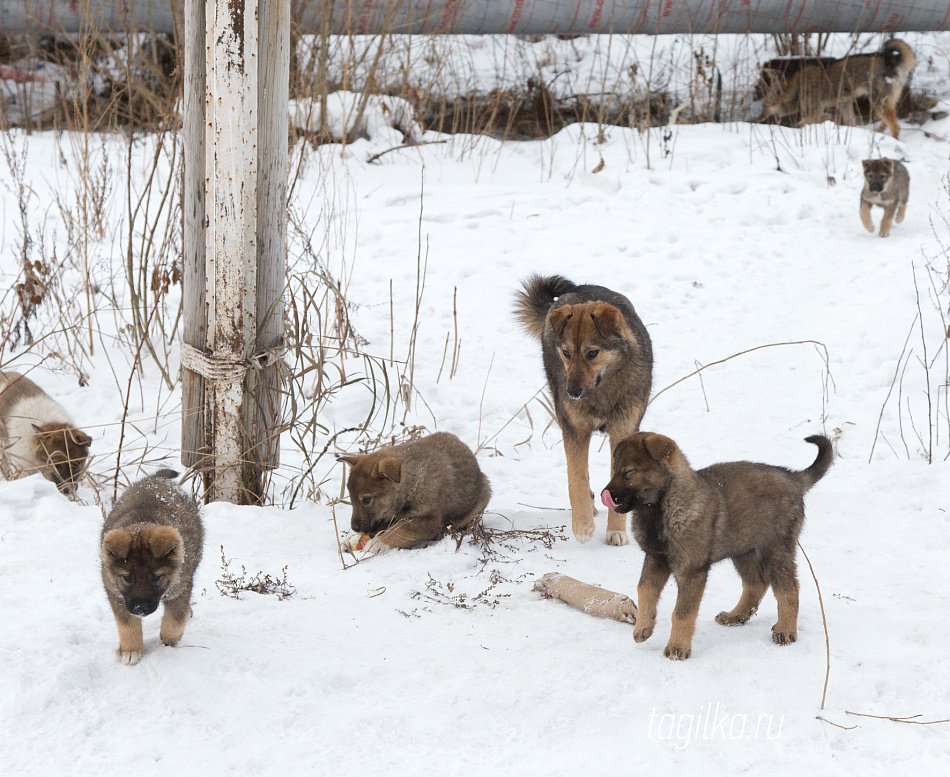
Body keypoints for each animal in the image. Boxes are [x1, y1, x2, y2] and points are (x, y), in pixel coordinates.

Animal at [101, 470, 205, 664]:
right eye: (127, 578)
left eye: (156, 577)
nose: (140, 609)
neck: (142, 523)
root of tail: (156, 478)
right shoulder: (115, 592)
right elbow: (128, 624)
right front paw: (131, 651)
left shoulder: (181, 586)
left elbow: (175, 617)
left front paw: (169, 640)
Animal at [338, 430, 490, 552]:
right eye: (351, 499)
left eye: (367, 499)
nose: (355, 528)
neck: (413, 481)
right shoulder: (387, 517)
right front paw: (351, 539)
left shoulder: (429, 520)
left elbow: (399, 528)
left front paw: (378, 543)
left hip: (481, 499)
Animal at [512, 276, 656, 544]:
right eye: (567, 353)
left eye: (592, 353)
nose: (572, 392)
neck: (600, 393)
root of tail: (579, 289)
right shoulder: (574, 430)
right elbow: (576, 478)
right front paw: (582, 525)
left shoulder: (623, 430)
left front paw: (616, 531)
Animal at [604, 434, 832, 656]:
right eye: (614, 470)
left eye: (629, 472)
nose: (604, 494)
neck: (661, 508)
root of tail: (793, 478)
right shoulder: (655, 558)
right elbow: (644, 590)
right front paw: (643, 627)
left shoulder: (691, 571)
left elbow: (682, 613)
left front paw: (678, 647)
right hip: (743, 548)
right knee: (756, 583)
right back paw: (736, 615)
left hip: (775, 548)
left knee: (788, 588)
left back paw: (785, 629)